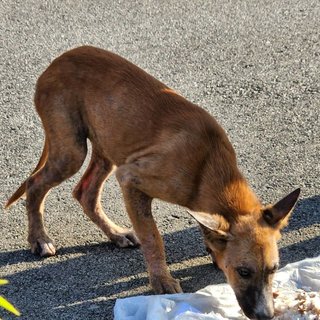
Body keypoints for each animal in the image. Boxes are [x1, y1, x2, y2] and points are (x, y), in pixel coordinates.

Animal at [5, 47, 300, 320]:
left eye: (274, 269)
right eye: (244, 271)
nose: (266, 315)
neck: (208, 164)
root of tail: (59, 60)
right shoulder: (131, 179)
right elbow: (152, 237)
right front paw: (162, 280)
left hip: (108, 147)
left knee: (85, 193)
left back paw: (116, 234)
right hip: (72, 150)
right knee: (34, 184)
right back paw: (39, 239)